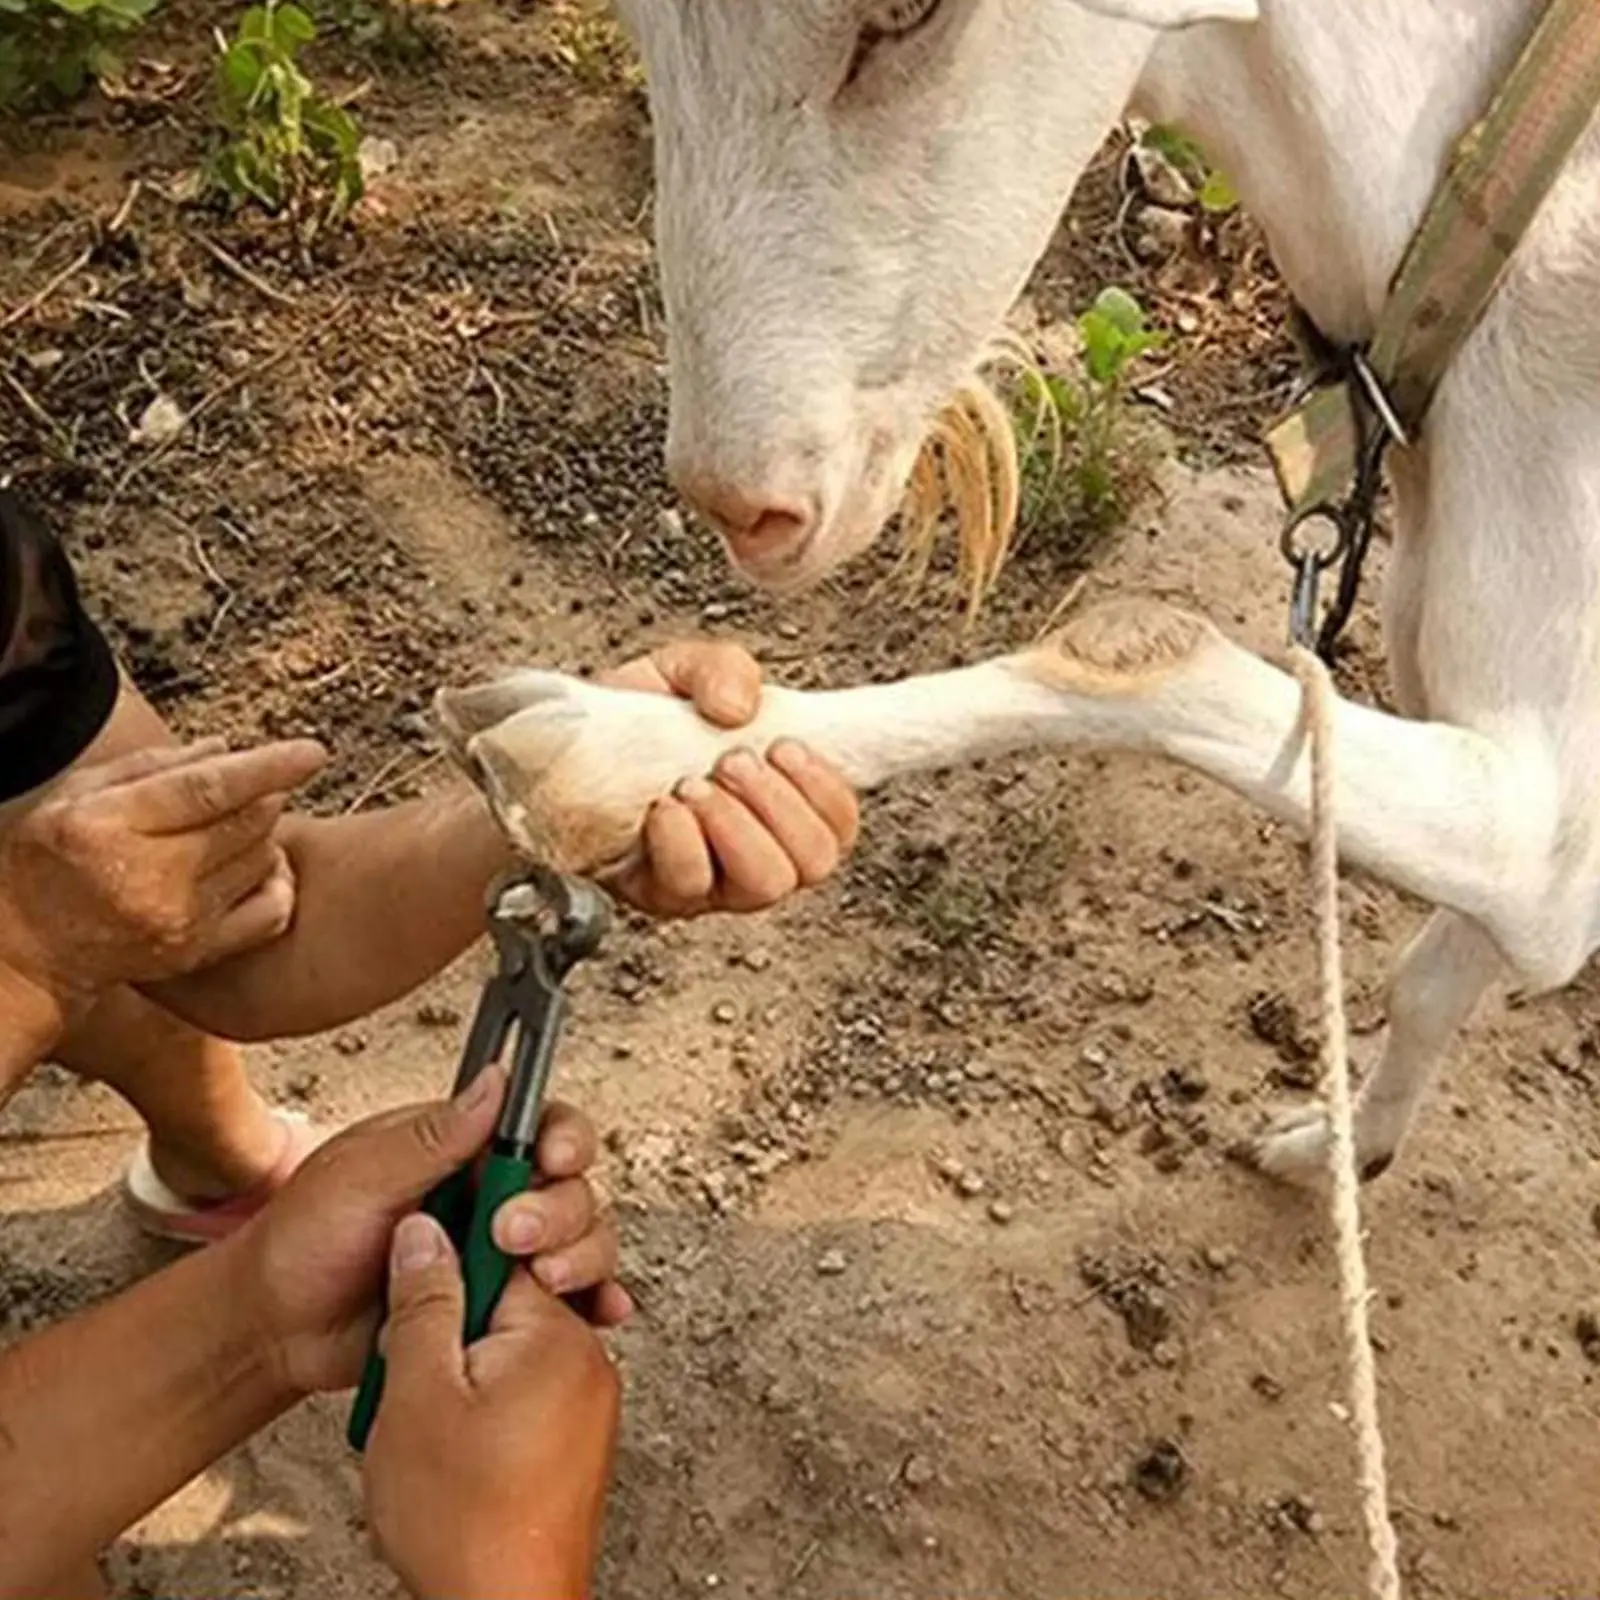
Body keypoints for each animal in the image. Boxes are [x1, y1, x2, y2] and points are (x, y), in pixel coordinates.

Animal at [444, 0, 1600, 1177]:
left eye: (904, 13)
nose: (744, 509)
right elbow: (1436, 973)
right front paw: (1342, 1146)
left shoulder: (1545, 818)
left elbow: (1138, 653)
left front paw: (610, 751)